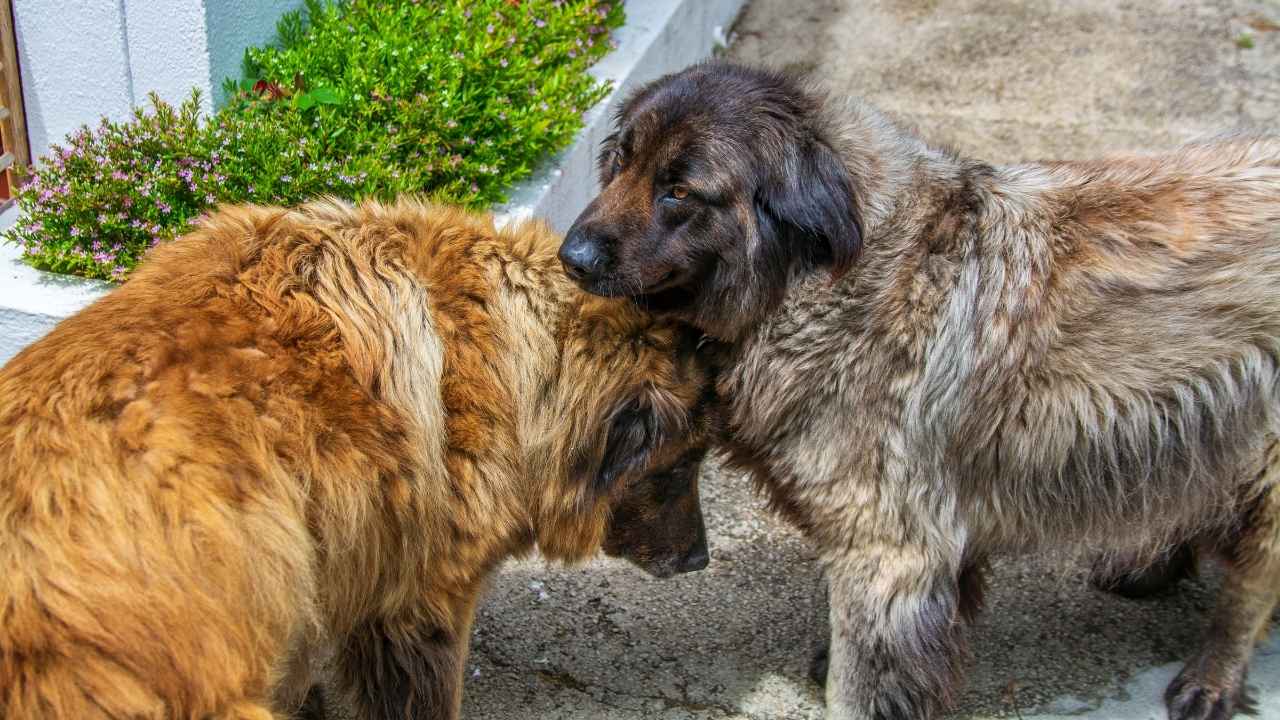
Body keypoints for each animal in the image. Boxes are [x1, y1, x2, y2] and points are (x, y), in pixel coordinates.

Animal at [565, 61, 1280, 717]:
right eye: (620, 161)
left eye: (680, 191)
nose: (573, 257)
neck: (816, 279)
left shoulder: (888, 552)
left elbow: (858, 681)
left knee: (1251, 583)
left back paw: (1212, 676)